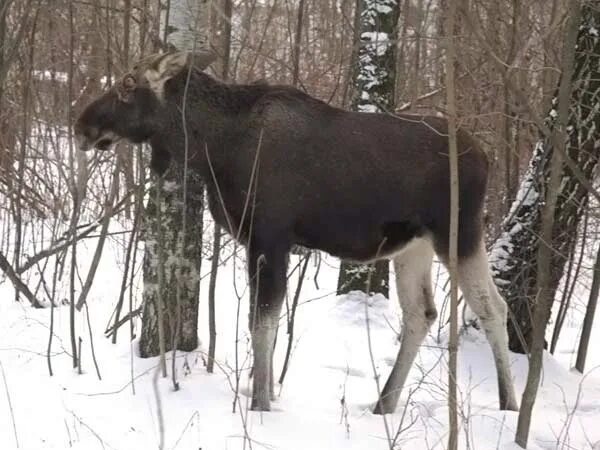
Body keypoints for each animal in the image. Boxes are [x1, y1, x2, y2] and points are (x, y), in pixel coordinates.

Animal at [75, 51, 516, 414]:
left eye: (128, 84)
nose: (81, 125)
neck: (213, 148)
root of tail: (486, 157)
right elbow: (263, 323)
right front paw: (267, 395)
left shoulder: (269, 237)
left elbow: (262, 324)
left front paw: (261, 403)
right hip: (412, 246)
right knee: (421, 313)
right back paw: (384, 403)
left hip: (459, 232)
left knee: (492, 306)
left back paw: (509, 404)